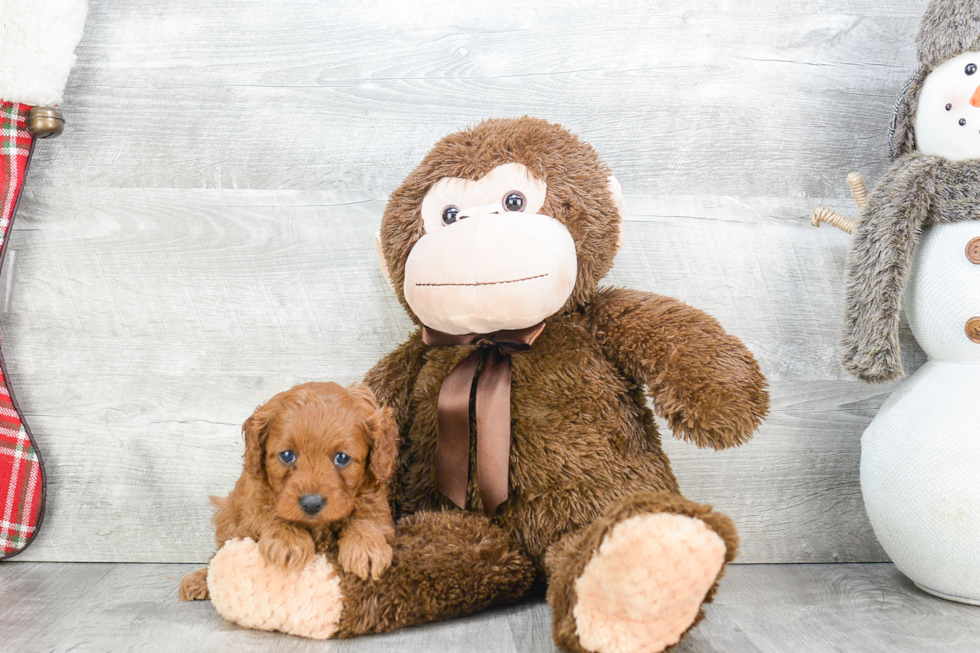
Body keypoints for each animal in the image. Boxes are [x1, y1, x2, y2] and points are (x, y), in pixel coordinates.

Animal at [180, 382, 398, 600]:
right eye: (287, 455)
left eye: (342, 458)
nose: (311, 504)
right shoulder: (251, 504)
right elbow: (268, 514)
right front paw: (288, 541)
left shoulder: (375, 498)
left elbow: (369, 518)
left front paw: (366, 547)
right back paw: (198, 580)